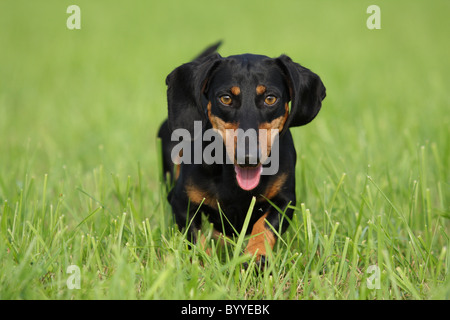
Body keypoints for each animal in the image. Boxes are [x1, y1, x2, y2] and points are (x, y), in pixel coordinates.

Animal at [157, 42, 324, 262]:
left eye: (270, 98)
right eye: (226, 98)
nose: (248, 158)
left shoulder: (285, 201)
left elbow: (264, 226)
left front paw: (256, 255)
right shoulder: (180, 202)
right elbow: (196, 239)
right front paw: (205, 262)